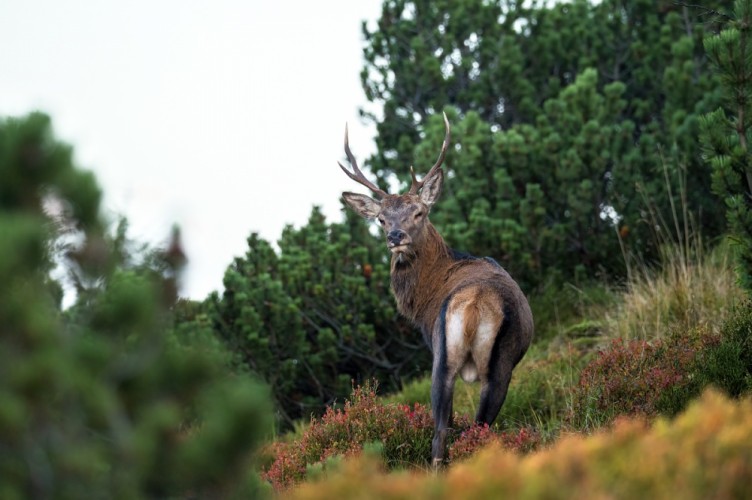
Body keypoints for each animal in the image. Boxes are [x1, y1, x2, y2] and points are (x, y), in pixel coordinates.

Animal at [334, 111, 536, 466]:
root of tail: (474, 306)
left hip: (449, 358)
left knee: (444, 430)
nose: (395, 236)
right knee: (463, 428)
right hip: (489, 362)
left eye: (419, 212)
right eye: (381, 219)